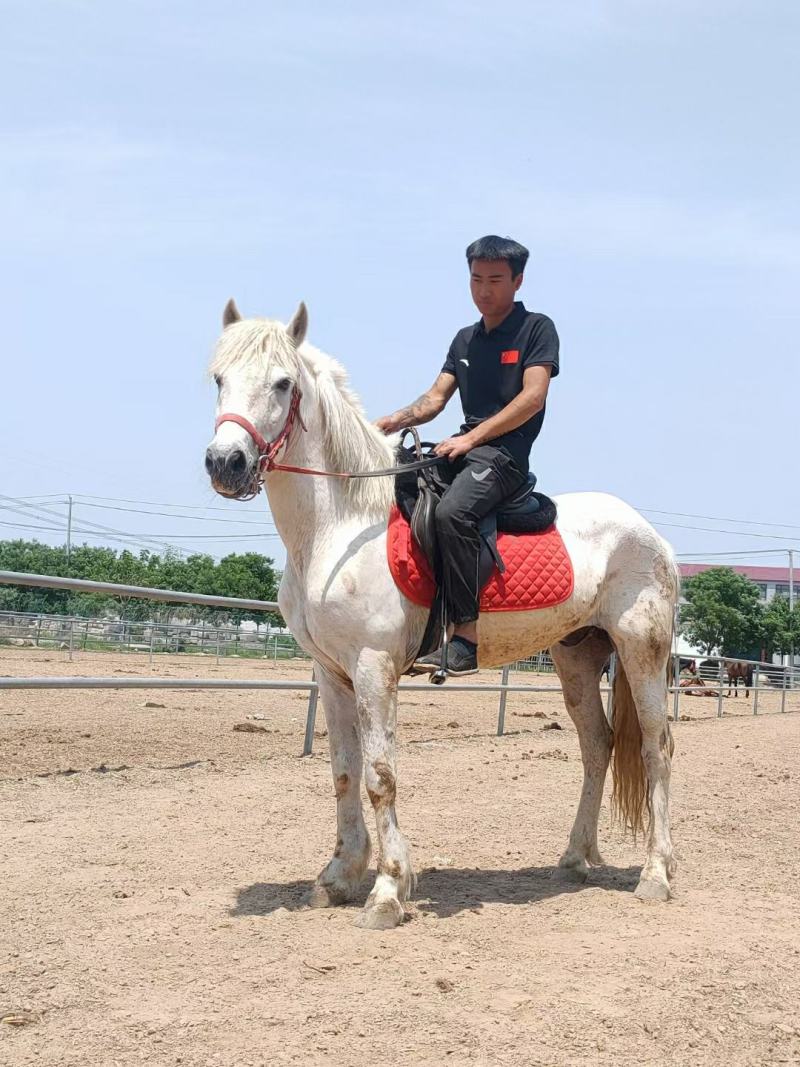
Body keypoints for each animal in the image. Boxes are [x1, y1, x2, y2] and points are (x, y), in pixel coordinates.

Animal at [204, 301, 681, 929]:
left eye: (283, 384)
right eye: (218, 379)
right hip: (578, 655)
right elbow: (343, 773)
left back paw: (656, 873)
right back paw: (574, 860)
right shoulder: (331, 674)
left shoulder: (374, 669)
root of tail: (653, 536)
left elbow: (380, 777)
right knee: (596, 747)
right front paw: (337, 877)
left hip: (640, 650)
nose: (226, 463)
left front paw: (386, 891)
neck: (340, 525)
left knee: (656, 747)